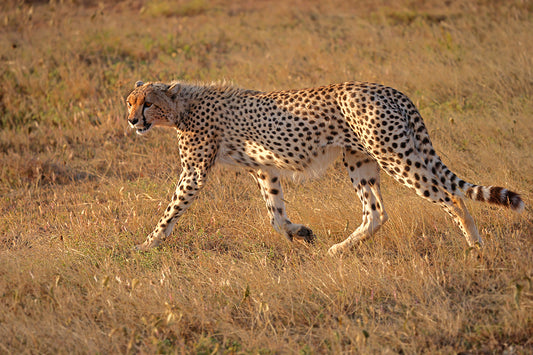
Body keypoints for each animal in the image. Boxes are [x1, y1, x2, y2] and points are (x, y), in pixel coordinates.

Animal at [125, 80, 524, 256]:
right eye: (129, 101)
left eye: (147, 103)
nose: (131, 120)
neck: (182, 104)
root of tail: (389, 88)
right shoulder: (264, 168)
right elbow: (275, 215)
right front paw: (300, 233)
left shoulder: (194, 172)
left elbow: (170, 211)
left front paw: (147, 244)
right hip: (360, 159)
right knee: (376, 212)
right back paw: (339, 250)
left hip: (392, 155)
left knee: (451, 197)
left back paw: (475, 244)